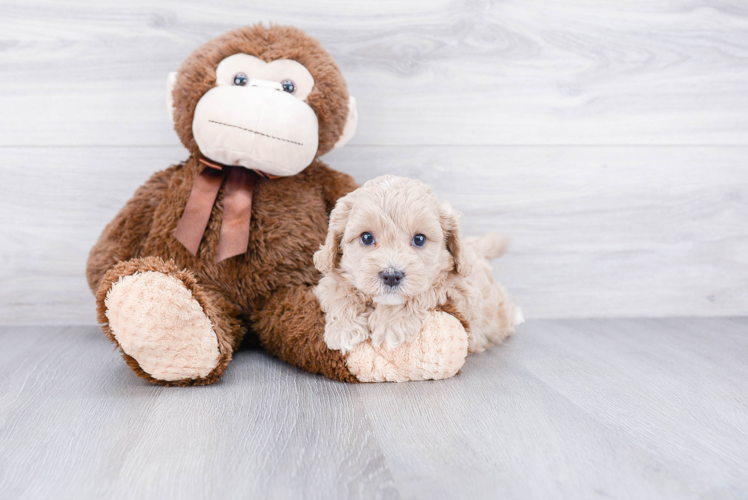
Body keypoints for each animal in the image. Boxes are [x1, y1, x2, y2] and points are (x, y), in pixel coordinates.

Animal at [312, 174, 520, 354]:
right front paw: (344, 328)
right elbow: (339, 289)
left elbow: (428, 290)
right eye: (366, 237)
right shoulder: (327, 281)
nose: (391, 276)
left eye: (419, 239)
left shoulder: (463, 294)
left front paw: (390, 322)